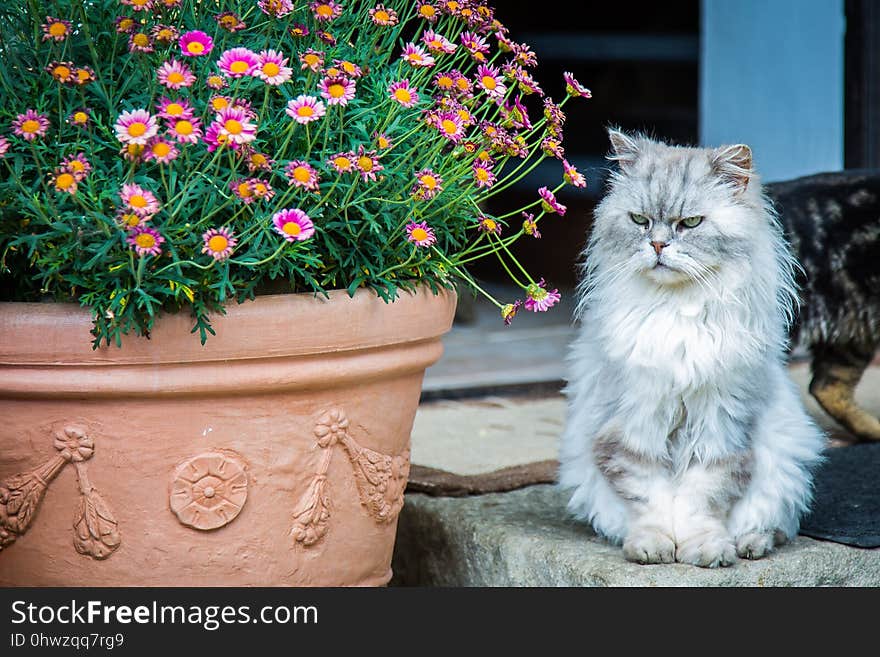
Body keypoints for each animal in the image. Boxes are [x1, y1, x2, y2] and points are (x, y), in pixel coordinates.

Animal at [560, 131, 828, 568]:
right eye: (640, 221)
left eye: (690, 223)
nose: (657, 245)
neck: (678, 311)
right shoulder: (635, 423)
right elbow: (649, 498)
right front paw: (653, 547)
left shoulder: (720, 425)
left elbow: (701, 500)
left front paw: (704, 550)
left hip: (785, 461)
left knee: (772, 525)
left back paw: (749, 545)